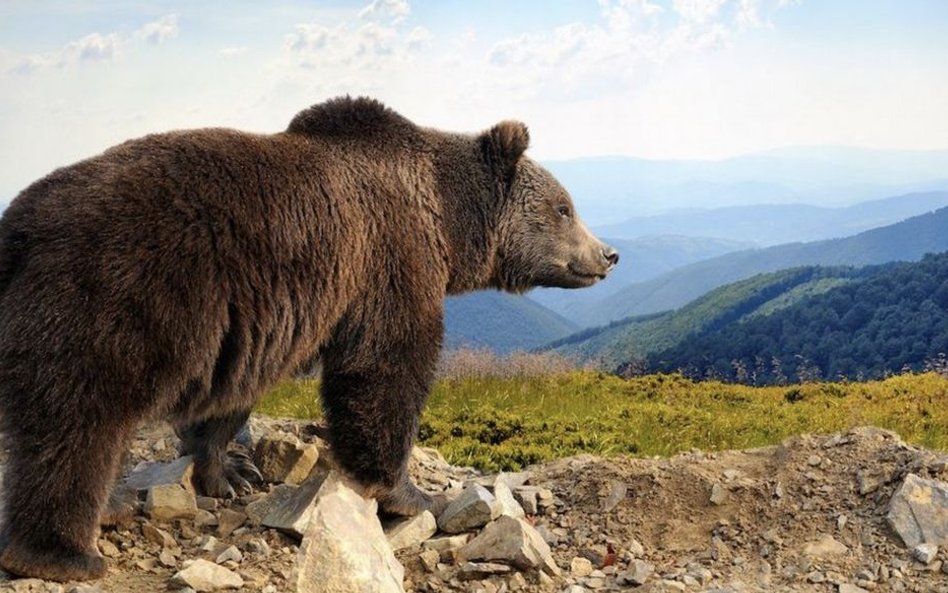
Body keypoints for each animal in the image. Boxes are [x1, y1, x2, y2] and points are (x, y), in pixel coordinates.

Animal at [0, 96, 620, 580]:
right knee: (79, 423)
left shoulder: (260, 320)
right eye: (564, 207)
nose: (608, 254)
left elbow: (235, 394)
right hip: (114, 295)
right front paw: (411, 493)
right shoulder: (387, 259)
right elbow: (386, 368)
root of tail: (17, 227)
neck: (446, 220)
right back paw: (64, 551)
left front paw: (229, 472)